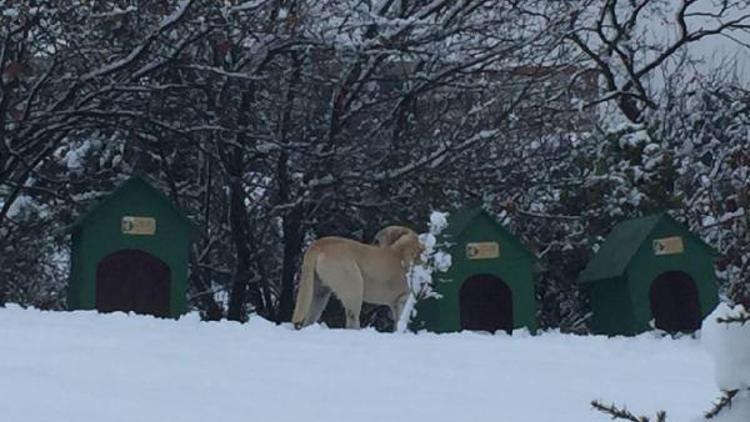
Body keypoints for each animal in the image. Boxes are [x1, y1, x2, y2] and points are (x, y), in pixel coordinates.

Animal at [292, 227, 426, 330]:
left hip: (318, 292)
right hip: (354, 287)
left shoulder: (396, 304)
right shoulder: (402, 300)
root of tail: (320, 244)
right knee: (352, 319)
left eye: (376, 241)